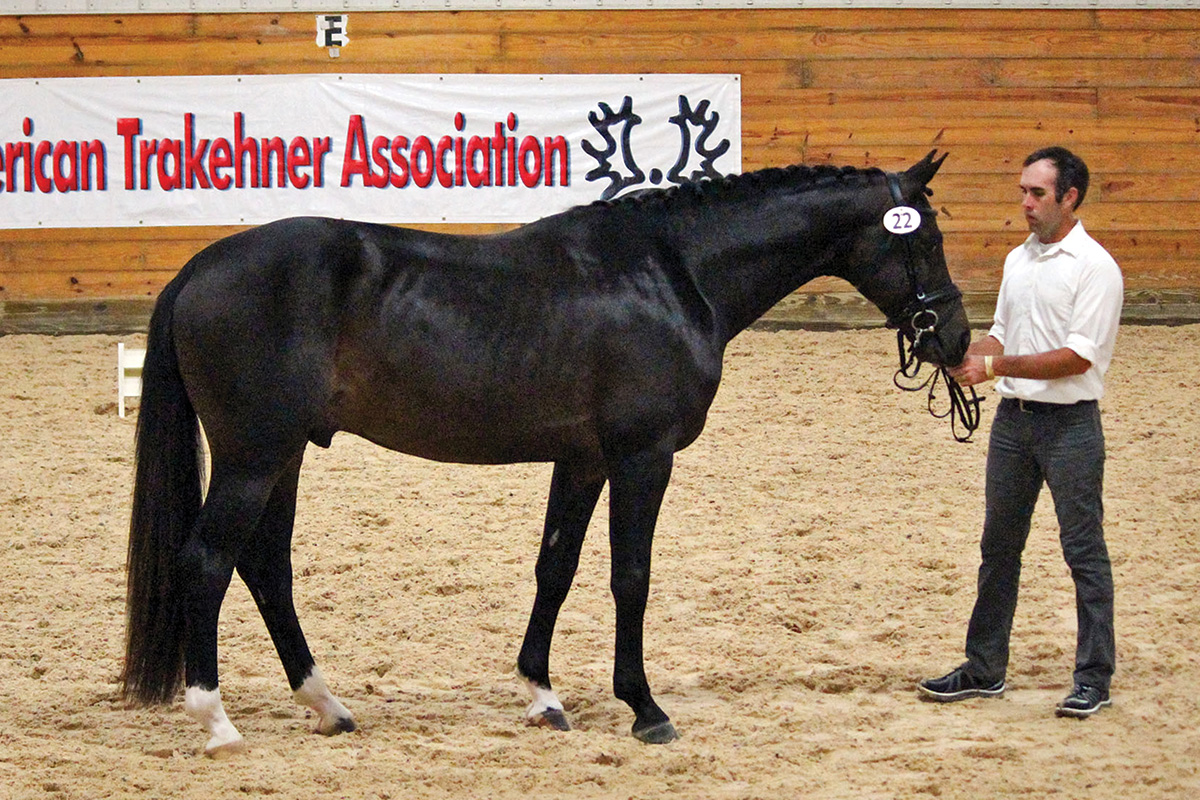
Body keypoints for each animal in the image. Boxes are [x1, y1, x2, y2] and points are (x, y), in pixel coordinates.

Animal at [121, 150, 969, 756]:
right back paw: (218, 722)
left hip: (284, 455)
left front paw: (542, 693)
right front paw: (645, 708)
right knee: (208, 562)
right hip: (253, 456)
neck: (673, 273)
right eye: (925, 240)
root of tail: (199, 267)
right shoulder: (642, 457)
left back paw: (328, 706)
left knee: (266, 567)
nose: (958, 341)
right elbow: (632, 577)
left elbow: (555, 568)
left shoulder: (585, 460)